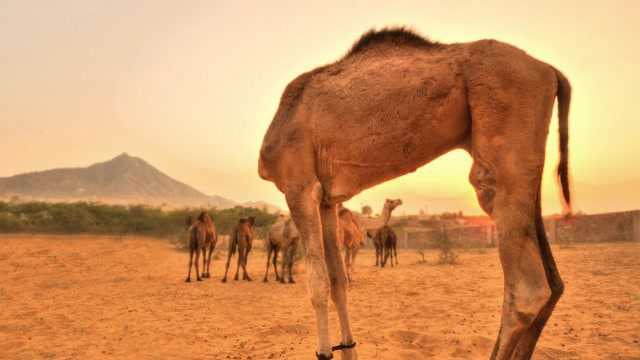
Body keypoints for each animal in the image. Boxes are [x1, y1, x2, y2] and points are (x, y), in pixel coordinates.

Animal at [258, 28, 572, 360]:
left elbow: (317, 283)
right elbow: (338, 282)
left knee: (527, 290)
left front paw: (323, 352)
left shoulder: (299, 185)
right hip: (527, 162)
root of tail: (550, 71)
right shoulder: (329, 200)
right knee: (553, 283)